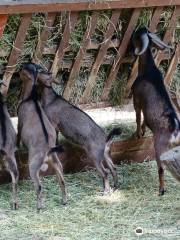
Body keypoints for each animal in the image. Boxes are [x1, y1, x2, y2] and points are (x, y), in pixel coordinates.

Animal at [17, 64, 67, 210]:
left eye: (24, 69)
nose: (19, 68)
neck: (31, 98)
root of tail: (49, 150)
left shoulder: (19, 122)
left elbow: (18, 135)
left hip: (33, 165)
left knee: (39, 186)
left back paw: (39, 206)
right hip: (56, 162)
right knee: (62, 180)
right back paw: (64, 201)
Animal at [131, 27, 180, 195]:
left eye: (137, 35)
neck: (148, 69)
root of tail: (175, 128)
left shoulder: (136, 100)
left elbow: (138, 117)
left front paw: (138, 134)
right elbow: (145, 120)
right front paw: (143, 130)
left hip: (159, 146)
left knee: (161, 168)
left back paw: (161, 189)